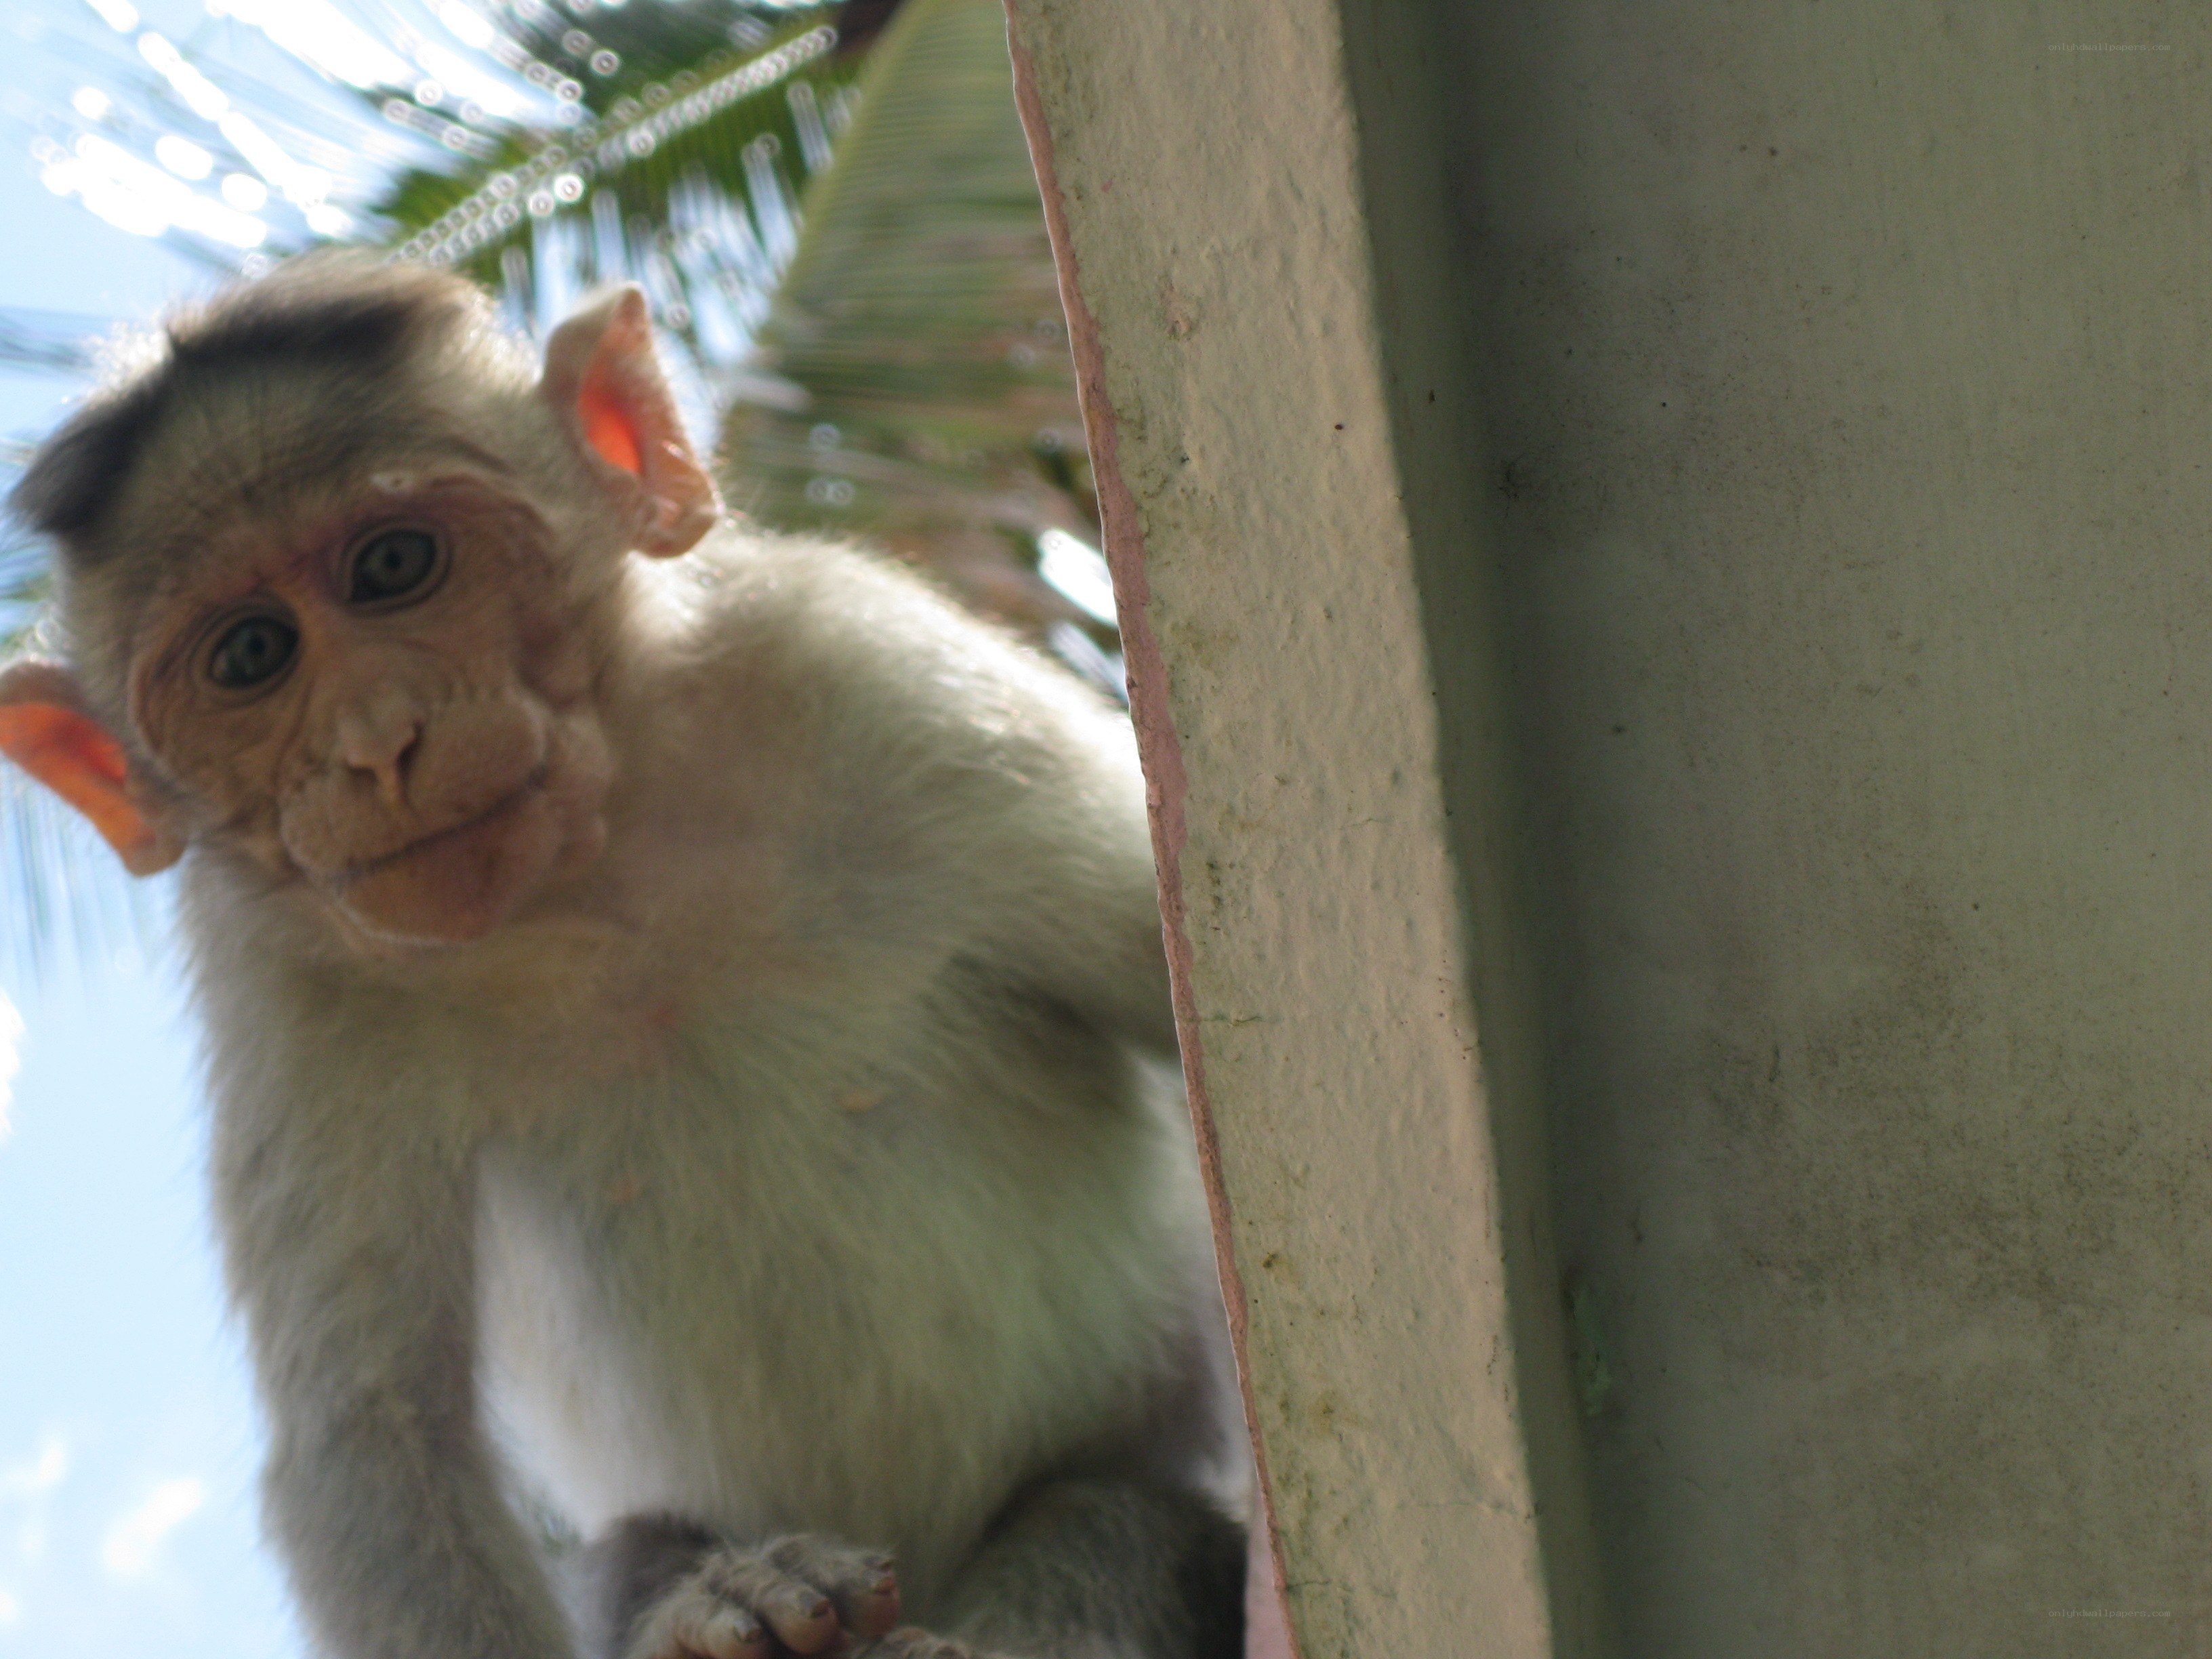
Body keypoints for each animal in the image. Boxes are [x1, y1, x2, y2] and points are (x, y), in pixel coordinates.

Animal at [0, 256, 1248, 1659]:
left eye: (393, 565)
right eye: (252, 655)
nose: (378, 743)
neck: (598, 888)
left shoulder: (867, 665)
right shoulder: (284, 979)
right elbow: (382, 1439)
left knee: (1110, 1522)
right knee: (627, 1547)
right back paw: (732, 1604)